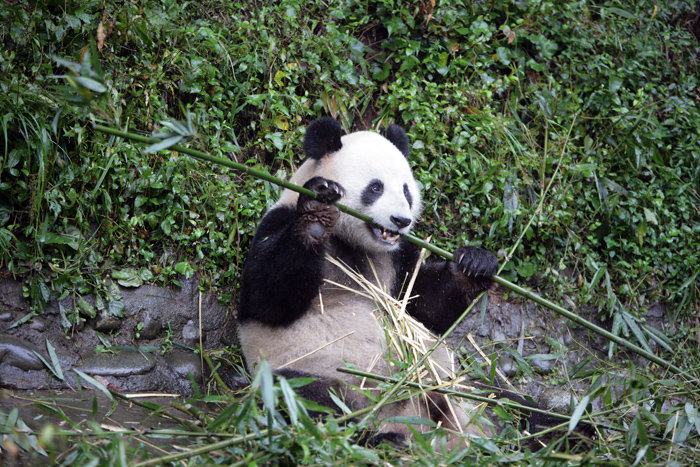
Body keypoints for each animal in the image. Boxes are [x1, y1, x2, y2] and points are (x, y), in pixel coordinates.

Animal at [238, 117, 506, 446]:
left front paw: (474, 265)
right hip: (315, 371)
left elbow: (425, 306)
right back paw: (382, 440)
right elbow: (267, 297)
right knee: (306, 400)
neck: (353, 240)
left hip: (455, 383)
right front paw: (316, 213)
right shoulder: (277, 221)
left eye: (406, 191)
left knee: (504, 403)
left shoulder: (398, 258)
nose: (401, 220)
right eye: (375, 188)